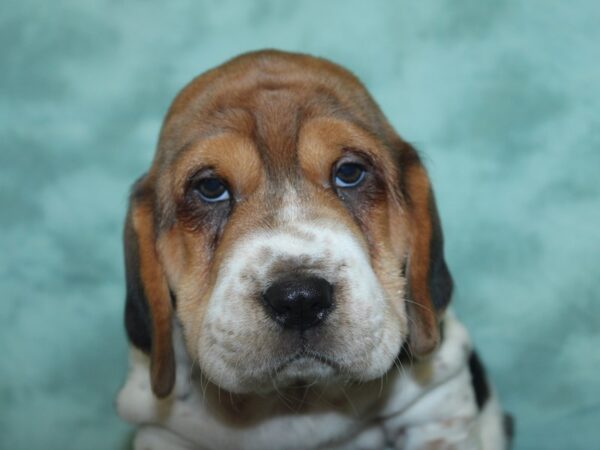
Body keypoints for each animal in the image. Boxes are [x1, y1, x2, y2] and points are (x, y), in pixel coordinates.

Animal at [116, 49, 510, 450]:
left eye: (349, 173)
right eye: (210, 188)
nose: (300, 299)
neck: (298, 398)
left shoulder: (436, 412)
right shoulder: (164, 433)